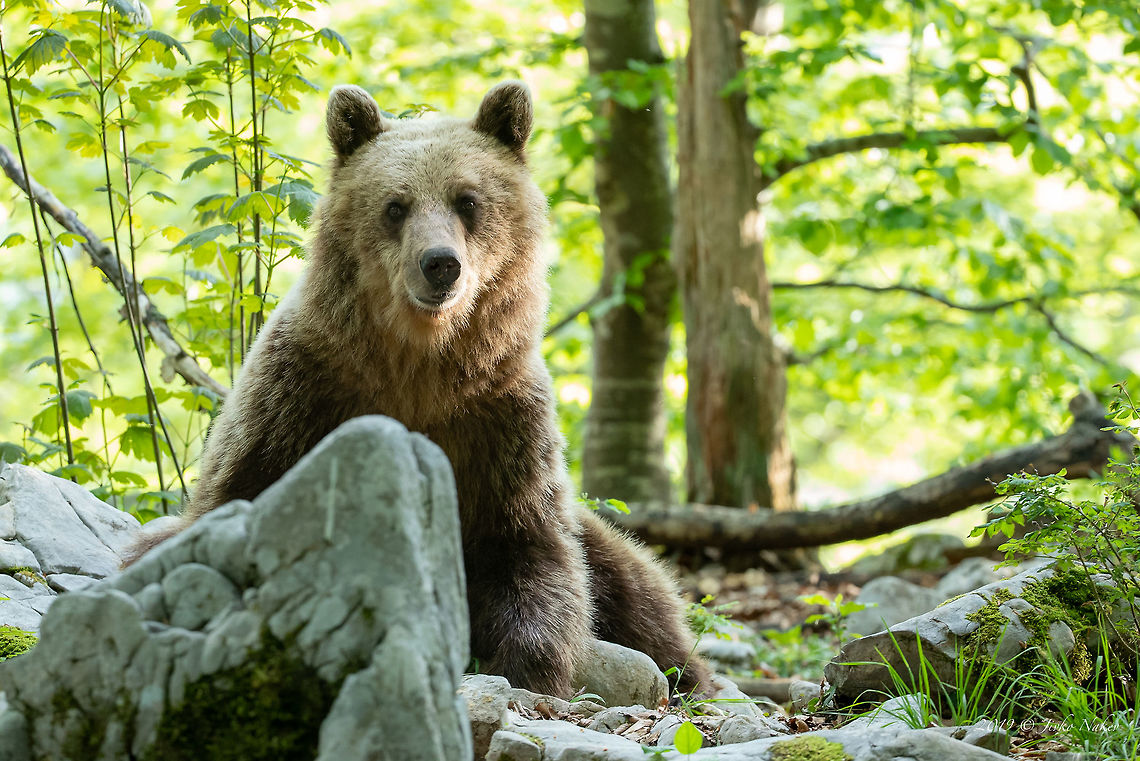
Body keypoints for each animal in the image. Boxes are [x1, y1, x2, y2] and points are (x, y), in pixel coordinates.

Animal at [144, 80, 710, 699]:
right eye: (396, 206)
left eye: (468, 200)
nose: (440, 264)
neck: (420, 368)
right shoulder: (299, 394)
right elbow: (228, 503)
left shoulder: (500, 419)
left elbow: (531, 551)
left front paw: (526, 667)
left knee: (638, 590)